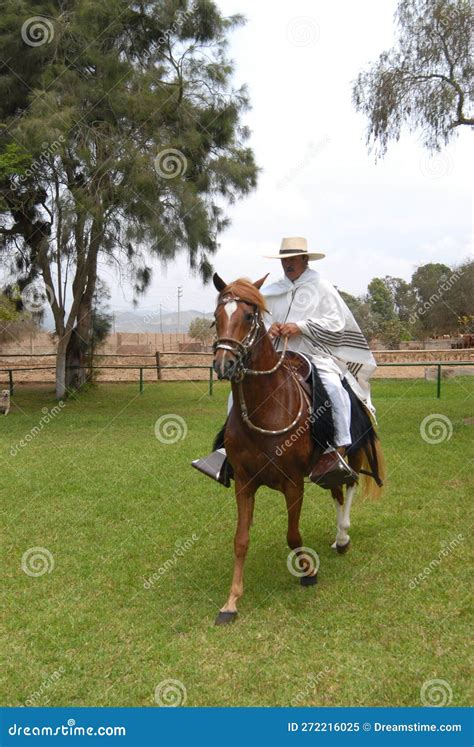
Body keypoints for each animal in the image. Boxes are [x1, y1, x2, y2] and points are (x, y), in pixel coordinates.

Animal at [211, 273, 385, 625]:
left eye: (247, 316)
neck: (266, 406)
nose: (224, 363)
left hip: (353, 453)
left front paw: (307, 572)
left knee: (348, 487)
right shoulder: (244, 484)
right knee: (336, 490)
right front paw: (231, 602)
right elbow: (240, 540)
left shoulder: (292, 483)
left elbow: (293, 535)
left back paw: (343, 537)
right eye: (216, 316)